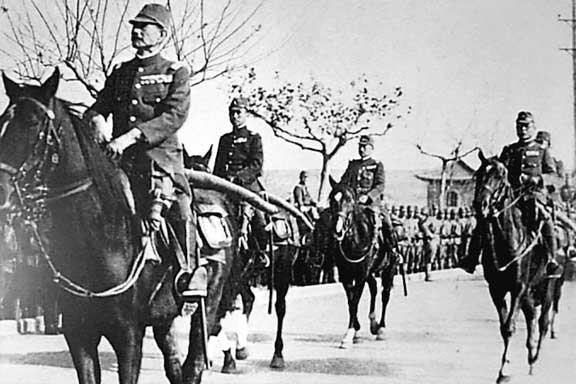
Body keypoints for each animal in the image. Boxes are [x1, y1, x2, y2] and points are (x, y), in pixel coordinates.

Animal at [0, 69, 232, 384]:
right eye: (2, 122)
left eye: (33, 123)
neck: (101, 237)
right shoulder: (79, 334)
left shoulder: (129, 336)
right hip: (165, 318)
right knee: (174, 365)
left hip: (208, 305)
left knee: (194, 364)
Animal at [326, 176, 398, 348]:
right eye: (331, 199)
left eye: (350, 200)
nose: (337, 230)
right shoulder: (346, 274)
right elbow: (351, 300)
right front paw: (355, 330)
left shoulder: (360, 275)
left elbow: (355, 299)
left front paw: (349, 333)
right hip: (370, 272)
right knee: (373, 288)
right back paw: (373, 323)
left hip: (389, 269)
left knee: (385, 295)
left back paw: (381, 328)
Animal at [472, 152, 560, 382]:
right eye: (479, 175)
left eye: (500, 175)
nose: (480, 204)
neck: (507, 241)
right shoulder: (497, 289)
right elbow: (504, 327)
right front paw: (505, 367)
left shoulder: (518, 288)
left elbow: (511, 325)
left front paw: (506, 369)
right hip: (529, 292)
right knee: (531, 316)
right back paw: (530, 354)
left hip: (548, 287)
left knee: (543, 321)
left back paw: (535, 357)